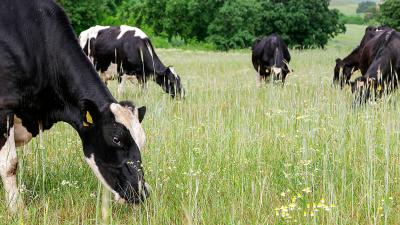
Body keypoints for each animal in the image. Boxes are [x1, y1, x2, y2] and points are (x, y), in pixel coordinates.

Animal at [0, 0, 150, 212]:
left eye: (142, 141)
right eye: (116, 139)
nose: (142, 192)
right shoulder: (4, 109)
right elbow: (10, 165)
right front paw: (17, 209)